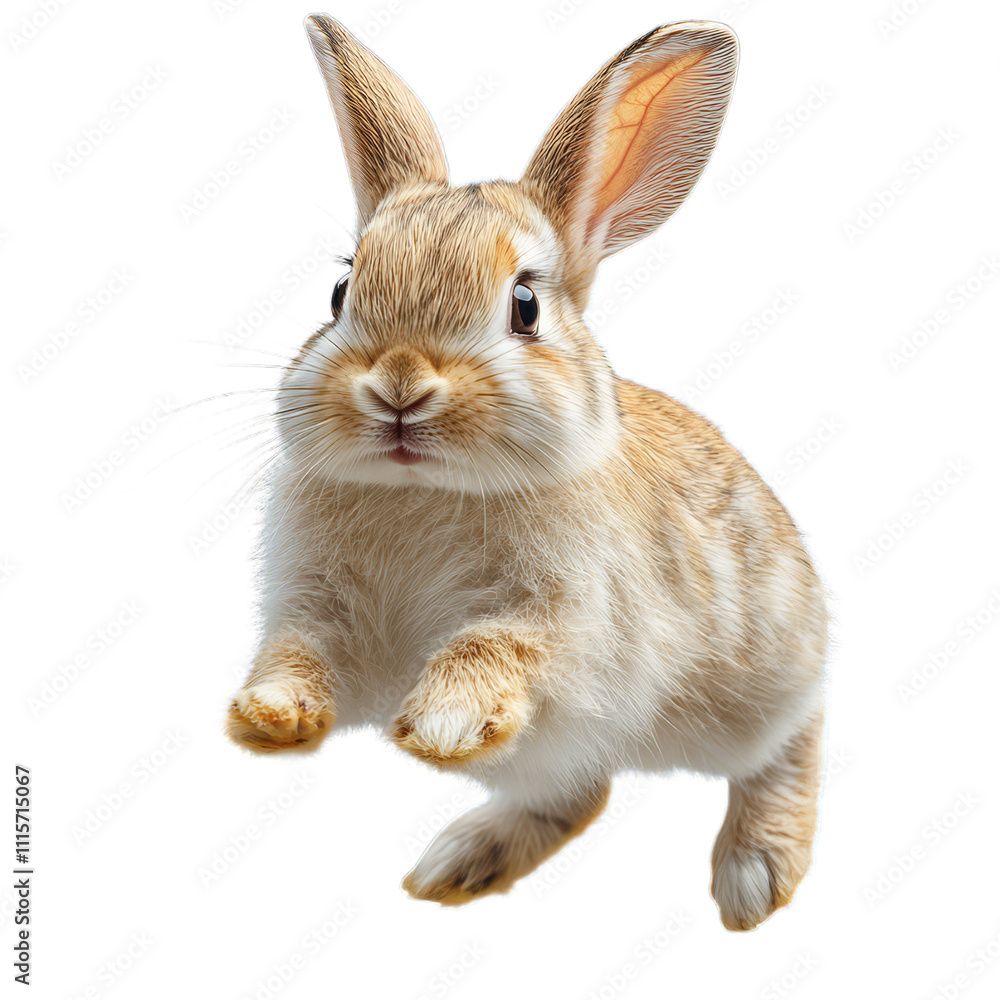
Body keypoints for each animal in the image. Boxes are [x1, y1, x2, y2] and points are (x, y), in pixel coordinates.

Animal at [226, 13, 829, 932]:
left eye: (525, 306)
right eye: (339, 293)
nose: (399, 384)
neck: (426, 490)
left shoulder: (569, 617)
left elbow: (497, 641)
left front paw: (441, 722)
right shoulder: (320, 607)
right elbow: (303, 649)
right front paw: (271, 715)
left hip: (761, 688)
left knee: (792, 741)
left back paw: (757, 874)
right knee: (578, 795)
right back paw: (459, 865)